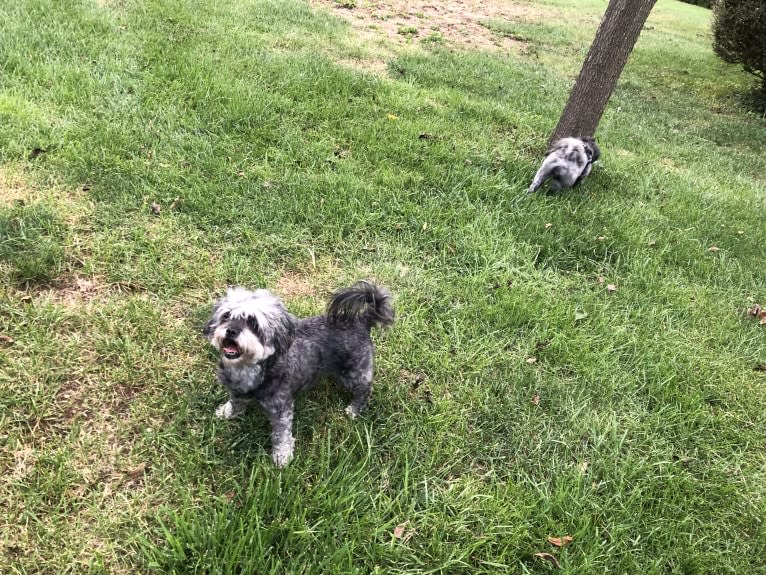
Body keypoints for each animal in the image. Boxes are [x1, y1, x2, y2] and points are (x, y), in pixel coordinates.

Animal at [204, 282, 396, 468]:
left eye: (253, 323)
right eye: (226, 316)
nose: (231, 331)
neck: (249, 367)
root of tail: (362, 320)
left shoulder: (281, 409)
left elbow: (281, 434)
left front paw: (282, 456)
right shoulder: (235, 390)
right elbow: (235, 402)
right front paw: (228, 412)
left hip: (352, 372)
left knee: (364, 389)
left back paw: (355, 409)